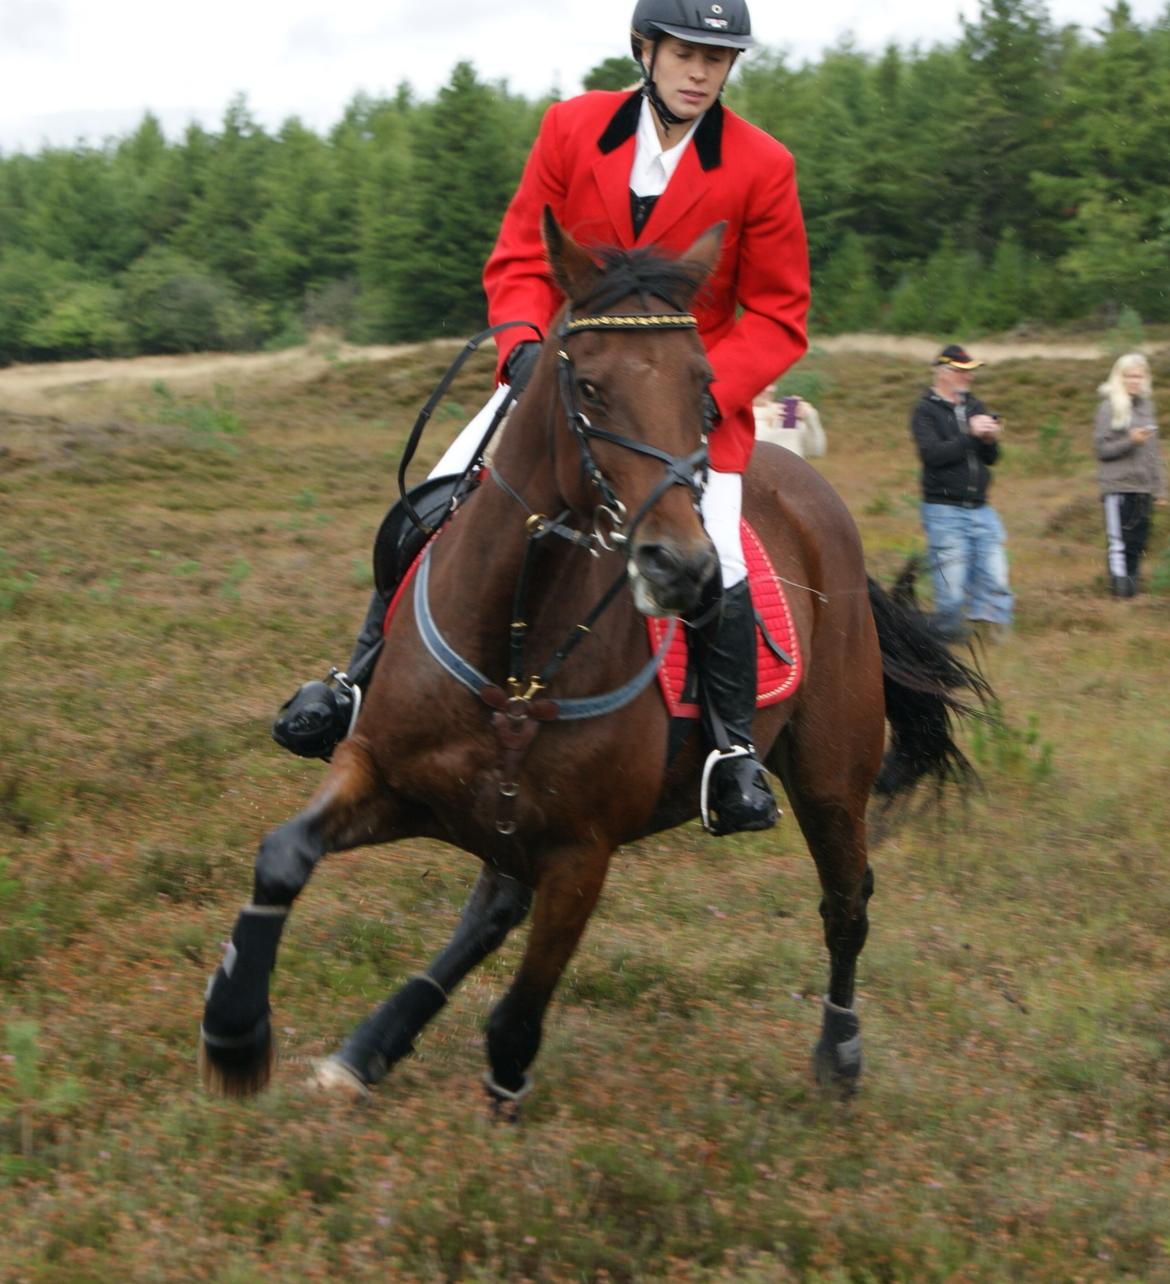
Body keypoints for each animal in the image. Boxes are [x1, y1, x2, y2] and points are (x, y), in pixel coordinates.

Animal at [196, 213, 981, 1114]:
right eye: (591, 386)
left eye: (704, 386)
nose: (681, 568)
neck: (516, 644)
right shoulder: (386, 775)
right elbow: (283, 854)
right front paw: (234, 1031)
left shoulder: (581, 854)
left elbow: (513, 1031)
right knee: (492, 906)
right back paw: (371, 1045)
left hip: (828, 779)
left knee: (847, 904)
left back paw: (840, 1054)